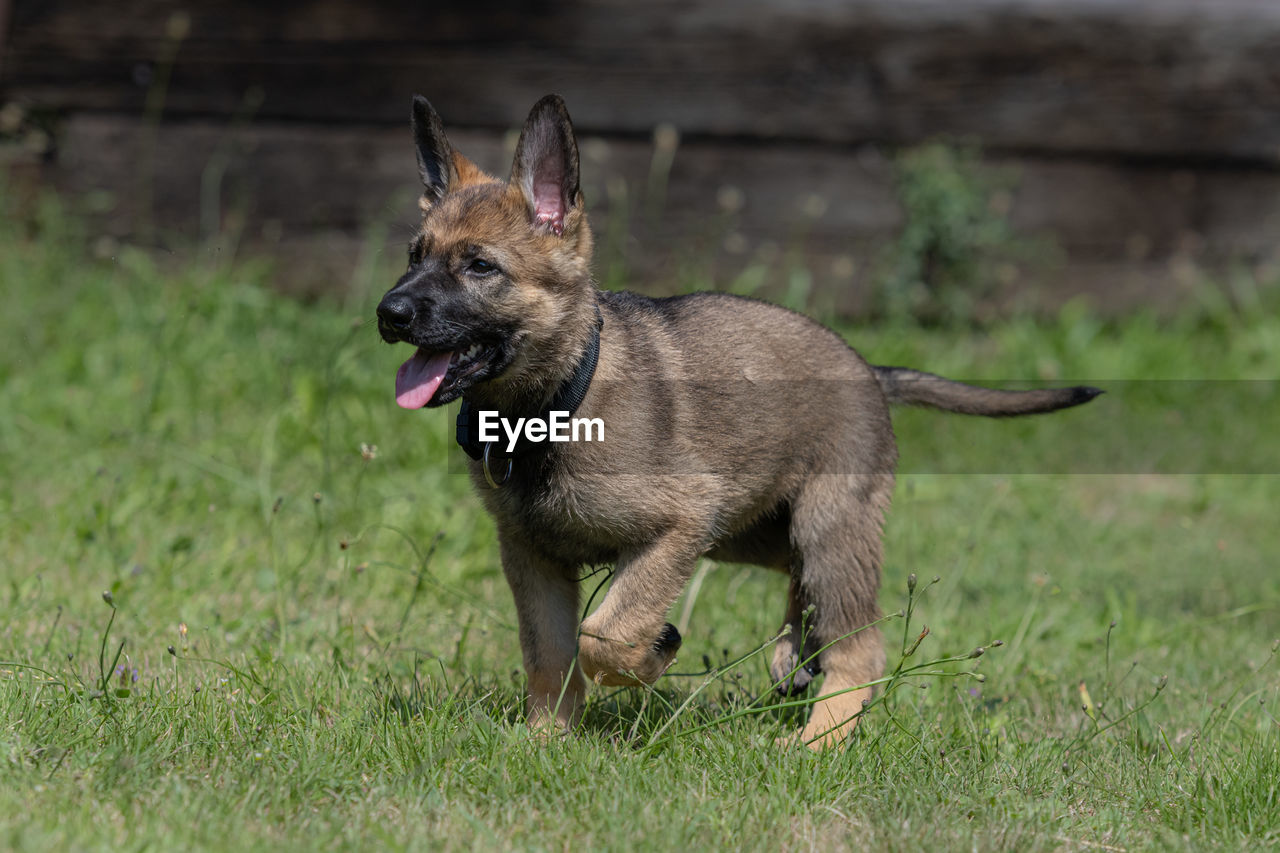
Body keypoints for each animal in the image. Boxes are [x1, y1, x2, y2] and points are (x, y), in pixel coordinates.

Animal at [373, 92, 1100, 742]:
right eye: (414, 255)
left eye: (480, 266)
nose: (389, 314)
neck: (559, 398)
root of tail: (871, 368)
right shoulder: (533, 553)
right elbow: (551, 655)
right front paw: (544, 742)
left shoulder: (679, 523)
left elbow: (604, 636)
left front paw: (649, 654)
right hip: (754, 527)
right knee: (804, 587)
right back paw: (795, 654)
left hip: (821, 522)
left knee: (859, 646)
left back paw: (815, 741)